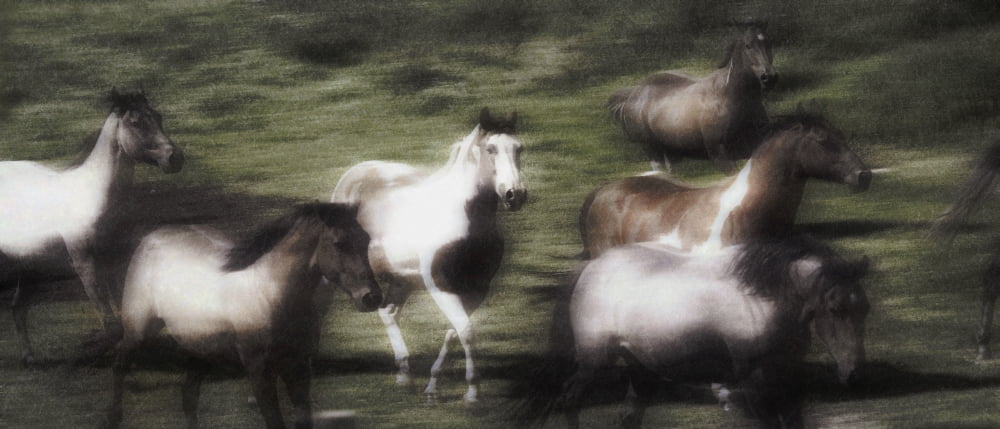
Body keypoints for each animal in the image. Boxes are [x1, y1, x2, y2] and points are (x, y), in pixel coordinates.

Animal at [0, 88, 184, 365]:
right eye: (135, 122)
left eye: (159, 117)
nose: (175, 158)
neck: (94, 195)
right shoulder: (85, 261)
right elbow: (111, 324)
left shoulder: (113, 257)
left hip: (30, 265)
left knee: (18, 306)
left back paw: (29, 358)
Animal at [104, 203, 383, 429]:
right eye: (339, 243)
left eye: (366, 239)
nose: (371, 297)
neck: (271, 294)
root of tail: (152, 237)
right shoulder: (259, 370)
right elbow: (274, 422)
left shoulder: (299, 367)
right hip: (139, 330)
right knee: (120, 360)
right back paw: (113, 417)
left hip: (200, 348)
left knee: (189, 396)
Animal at [330, 108, 526, 406]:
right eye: (490, 149)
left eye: (519, 148)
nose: (516, 195)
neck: (466, 220)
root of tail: (353, 173)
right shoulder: (440, 287)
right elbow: (466, 332)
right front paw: (472, 393)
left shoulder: (477, 289)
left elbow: (454, 332)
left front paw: (432, 388)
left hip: (402, 280)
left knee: (388, 312)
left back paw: (404, 375)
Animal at [540, 237, 870, 429]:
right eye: (835, 309)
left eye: (865, 309)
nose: (854, 374)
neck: (763, 298)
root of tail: (592, 266)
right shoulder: (754, 381)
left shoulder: (785, 377)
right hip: (592, 362)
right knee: (568, 400)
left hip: (640, 368)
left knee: (628, 416)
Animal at [608, 22, 777, 174]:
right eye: (748, 45)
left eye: (769, 42)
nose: (769, 77)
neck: (730, 95)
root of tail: (634, 93)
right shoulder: (719, 154)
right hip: (652, 150)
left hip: (670, 153)